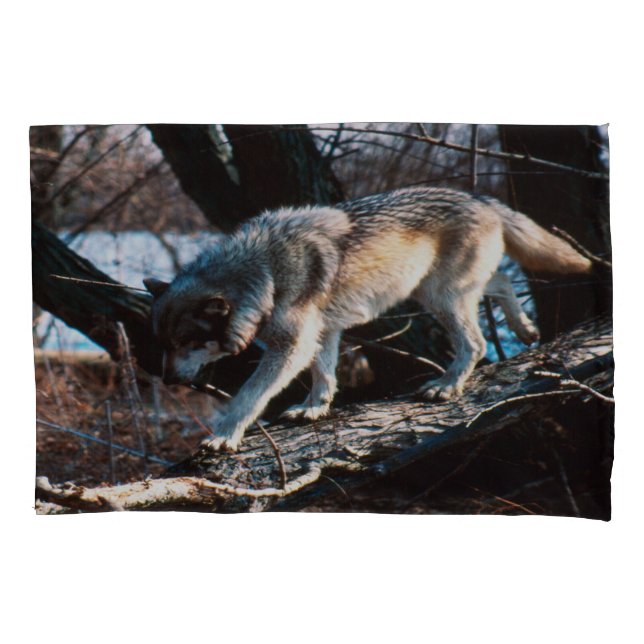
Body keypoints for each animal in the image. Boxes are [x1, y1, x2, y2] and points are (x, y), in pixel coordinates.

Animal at [144, 187, 592, 451]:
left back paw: (447, 386)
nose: (166, 379)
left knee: (477, 342)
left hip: (441, 297)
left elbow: (247, 398)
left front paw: (223, 436)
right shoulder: (322, 333)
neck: (264, 272)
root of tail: (482, 199)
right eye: (162, 345)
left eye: (187, 343)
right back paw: (525, 328)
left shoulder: (292, 346)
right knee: (500, 281)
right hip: (437, 291)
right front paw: (313, 410)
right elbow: (324, 376)